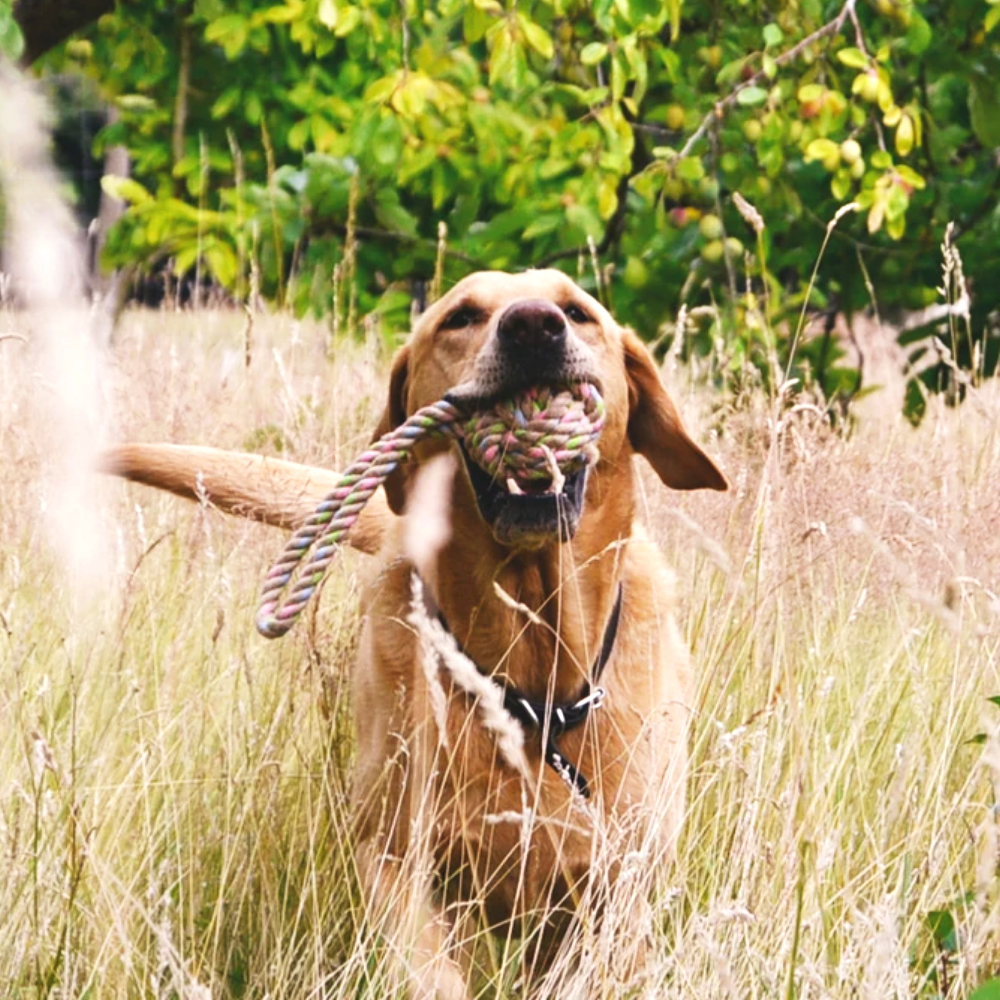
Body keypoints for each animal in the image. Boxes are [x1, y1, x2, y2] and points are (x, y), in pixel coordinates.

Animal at [103, 270, 728, 996]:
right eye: (461, 317)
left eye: (577, 313)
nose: (533, 327)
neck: (528, 678)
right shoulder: (397, 860)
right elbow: (428, 973)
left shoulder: (617, 890)